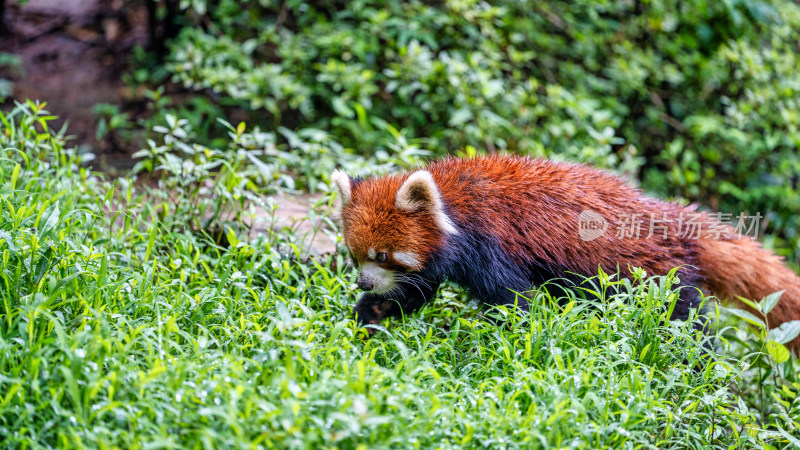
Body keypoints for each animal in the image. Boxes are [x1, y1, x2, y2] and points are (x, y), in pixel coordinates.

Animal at [330, 155, 800, 352]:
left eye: (384, 255)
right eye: (356, 256)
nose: (362, 281)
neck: (453, 203)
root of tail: (676, 221)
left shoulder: (490, 244)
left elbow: (514, 302)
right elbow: (414, 292)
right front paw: (368, 315)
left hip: (659, 278)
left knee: (683, 325)